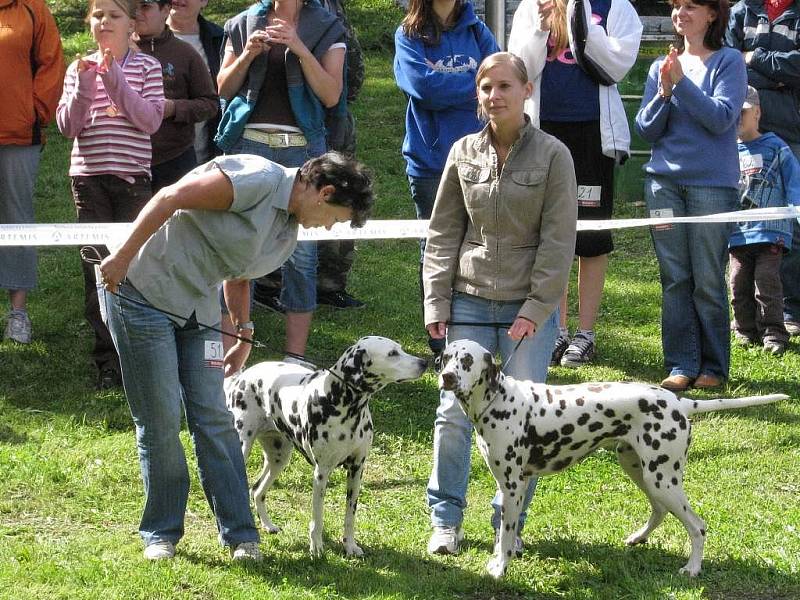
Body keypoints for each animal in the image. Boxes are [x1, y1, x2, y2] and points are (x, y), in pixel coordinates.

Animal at [222, 338, 428, 556]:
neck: (340, 403)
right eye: (392, 354)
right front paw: (316, 548)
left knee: (257, 490)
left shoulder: (356, 470)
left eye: (400, 349)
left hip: (279, 457)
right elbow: (317, 518)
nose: (424, 363)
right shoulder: (321, 473)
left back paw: (268, 525)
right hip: (242, 448)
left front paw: (350, 545)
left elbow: (350, 516)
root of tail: (243, 376)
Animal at [440, 338, 792, 576]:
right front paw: (501, 558)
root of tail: (679, 401)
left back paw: (692, 568)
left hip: (663, 480)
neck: (499, 400)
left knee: (698, 526)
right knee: (659, 512)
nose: (447, 377)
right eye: (446, 358)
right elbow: (503, 531)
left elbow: (506, 533)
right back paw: (638, 538)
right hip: (641, 471)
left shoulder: (514, 486)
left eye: (467, 361)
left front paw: (500, 567)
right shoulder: (507, 485)